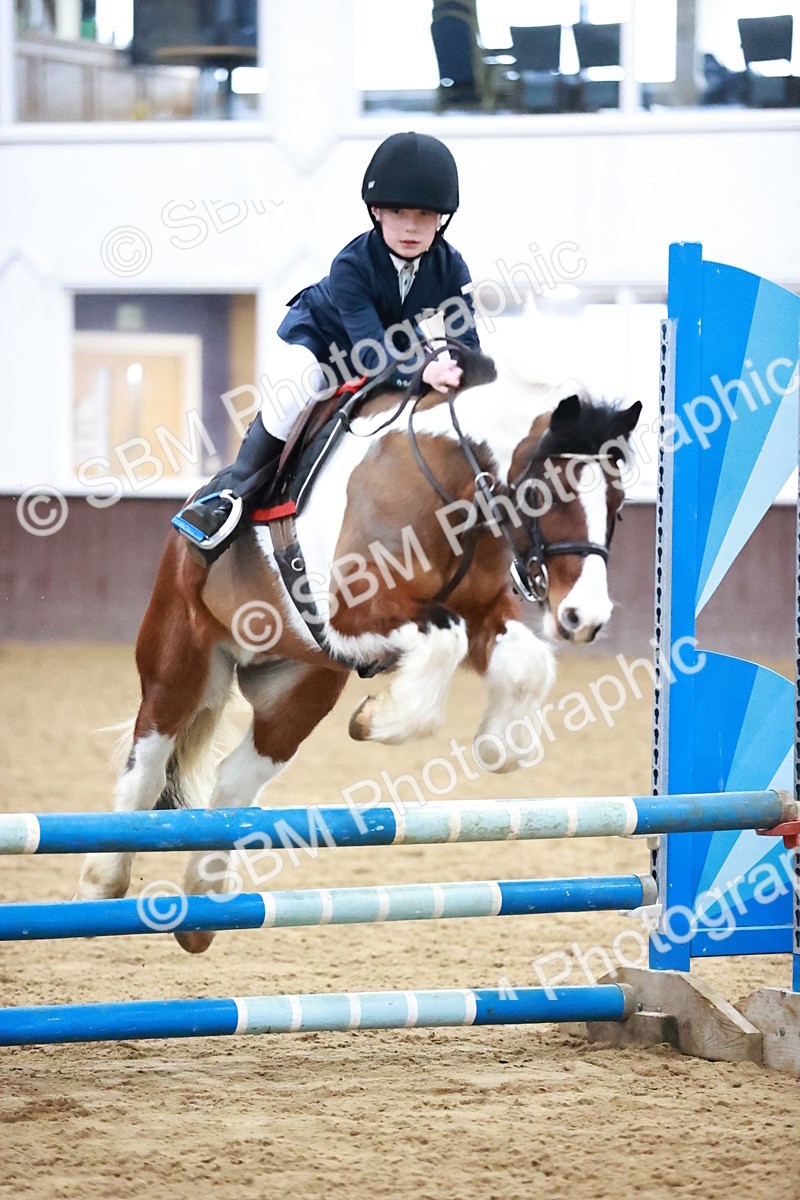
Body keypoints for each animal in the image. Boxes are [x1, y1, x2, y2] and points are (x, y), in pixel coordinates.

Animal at [76, 350, 641, 953]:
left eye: (617, 507)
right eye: (542, 494)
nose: (585, 619)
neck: (451, 485)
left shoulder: (480, 616)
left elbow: (527, 665)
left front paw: (499, 745)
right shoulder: (357, 614)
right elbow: (445, 643)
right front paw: (378, 720)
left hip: (302, 688)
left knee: (234, 781)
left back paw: (204, 909)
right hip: (180, 663)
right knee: (147, 768)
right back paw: (102, 884)